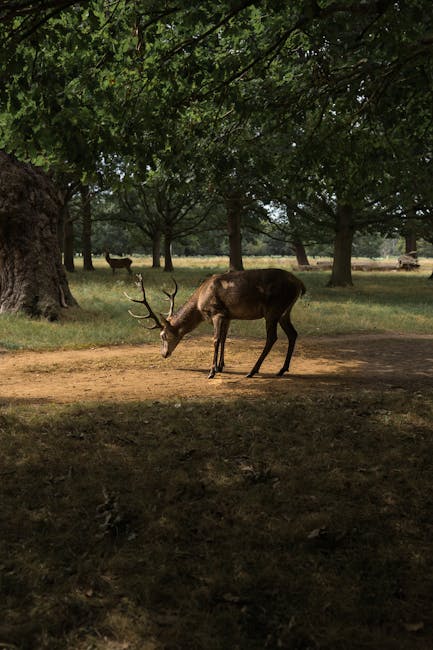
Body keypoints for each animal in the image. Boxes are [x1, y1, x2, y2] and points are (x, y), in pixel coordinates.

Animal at [125, 269, 306, 379]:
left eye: (162, 335)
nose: (163, 354)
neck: (200, 305)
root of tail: (299, 283)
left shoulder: (217, 312)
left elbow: (216, 340)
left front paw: (212, 371)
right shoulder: (228, 316)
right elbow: (224, 339)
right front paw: (220, 366)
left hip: (273, 309)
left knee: (272, 337)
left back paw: (252, 371)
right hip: (285, 312)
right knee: (293, 333)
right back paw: (282, 369)